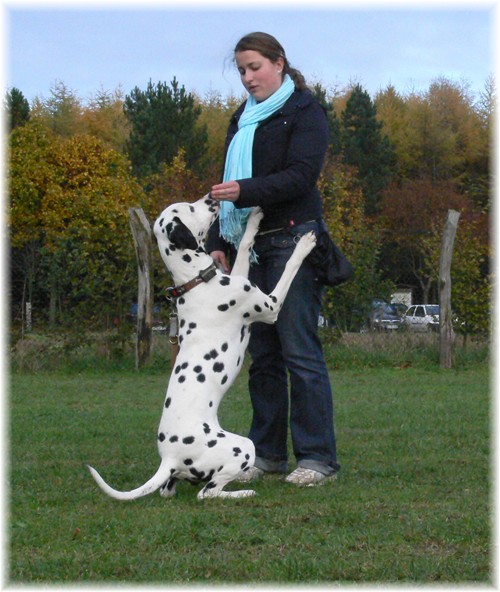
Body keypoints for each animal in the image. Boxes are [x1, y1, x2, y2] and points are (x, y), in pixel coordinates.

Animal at [88, 195, 316, 500]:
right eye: (189, 207)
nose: (211, 197)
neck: (194, 280)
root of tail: (169, 458)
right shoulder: (270, 306)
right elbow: (289, 268)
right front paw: (304, 245)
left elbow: (244, 246)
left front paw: (254, 220)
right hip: (244, 447)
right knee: (207, 493)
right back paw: (242, 493)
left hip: (183, 476)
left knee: (170, 491)